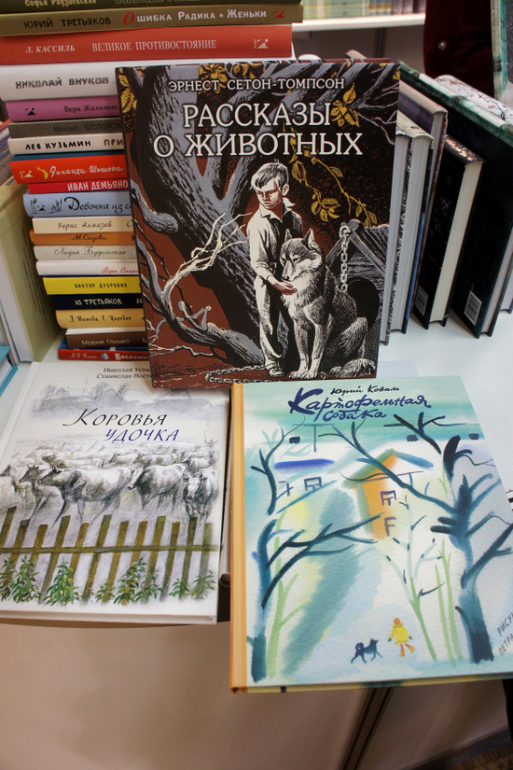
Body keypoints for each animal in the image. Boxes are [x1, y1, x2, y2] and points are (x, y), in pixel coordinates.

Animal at [279, 230, 376, 379]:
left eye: (296, 259)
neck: (302, 289)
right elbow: (303, 353)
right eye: (283, 260)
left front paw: (311, 373)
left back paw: (337, 368)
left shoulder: (323, 324)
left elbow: (316, 352)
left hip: (358, 326)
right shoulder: (299, 326)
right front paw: (302, 371)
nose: (284, 278)